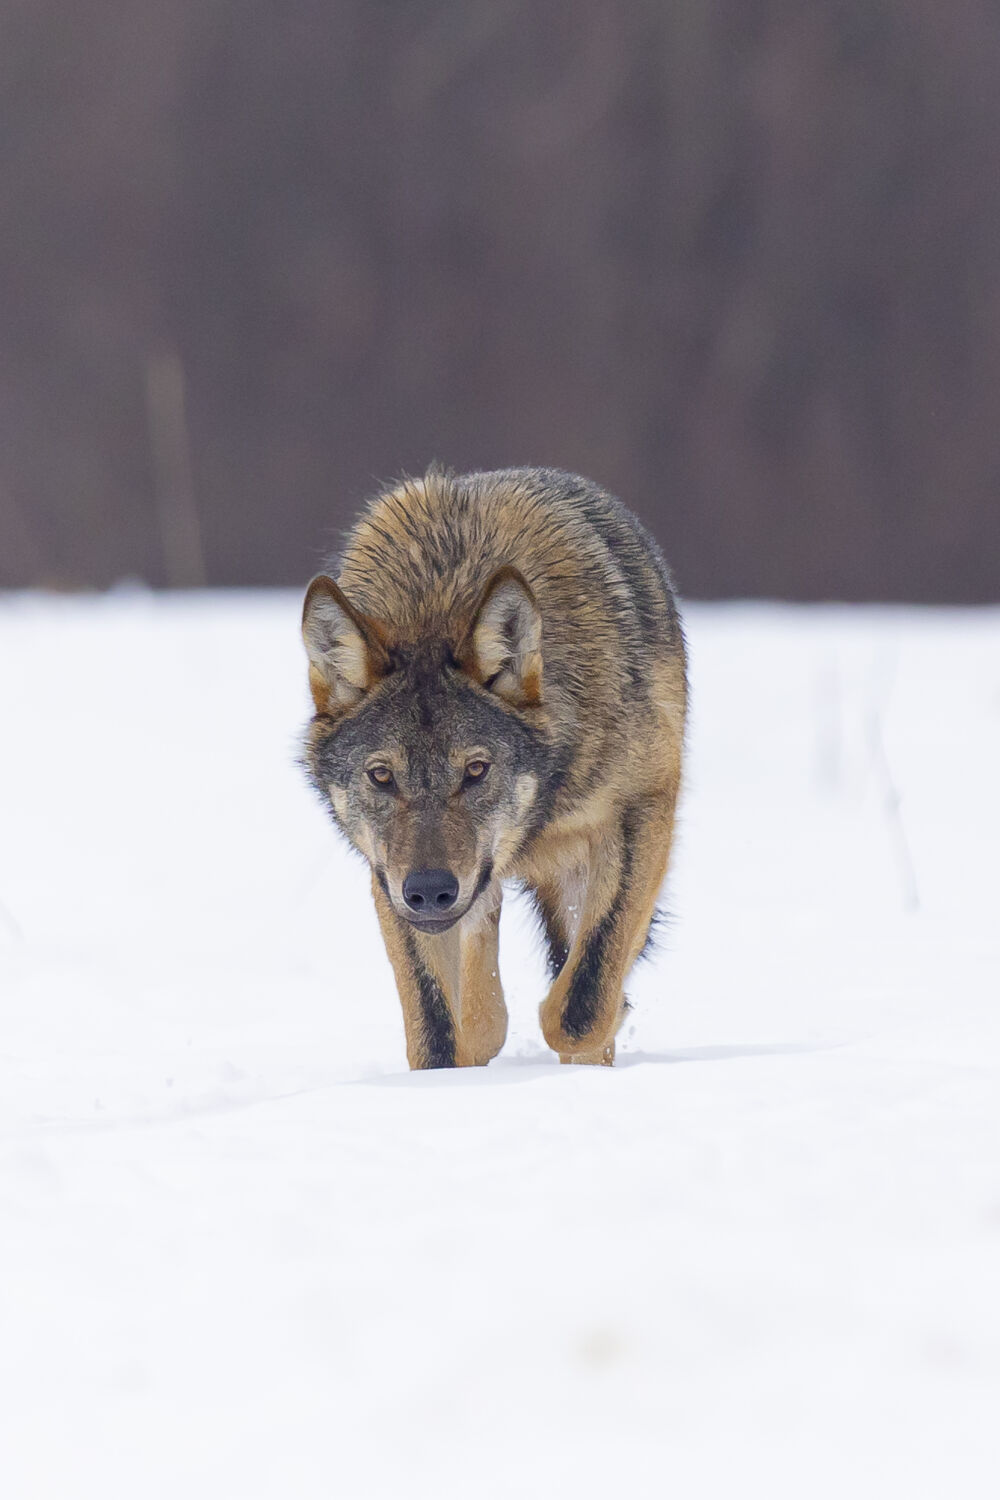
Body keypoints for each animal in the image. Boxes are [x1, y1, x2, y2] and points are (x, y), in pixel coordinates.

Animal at [301, 468, 683, 1068]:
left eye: (476, 770)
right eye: (381, 776)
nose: (430, 890)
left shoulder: (642, 807)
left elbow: (579, 1009)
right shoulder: (389, 877)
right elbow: (440, 1034)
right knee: (484, 1007)